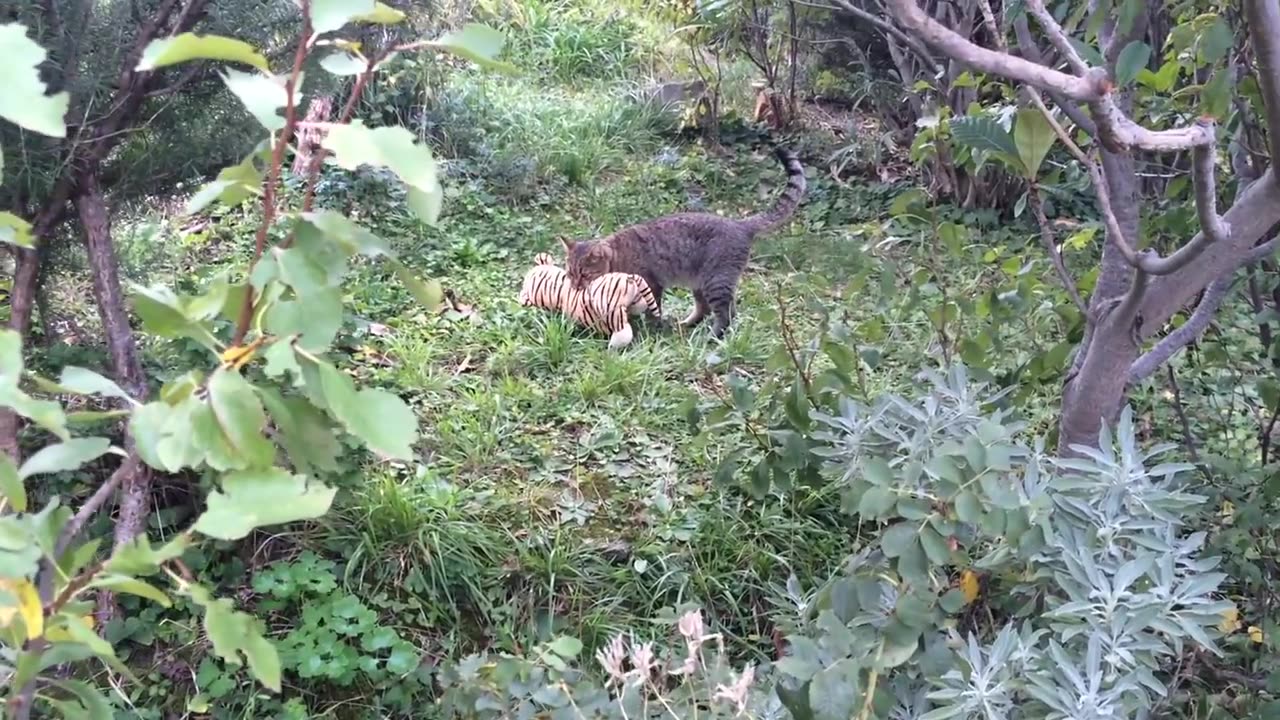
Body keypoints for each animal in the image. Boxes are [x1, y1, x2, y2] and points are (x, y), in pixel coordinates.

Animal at [563, 147, 803, 338]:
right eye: (570, 273)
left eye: (584, 273)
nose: (574, 286)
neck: (617, 258)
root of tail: (740, 224)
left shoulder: (652, 284)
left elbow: (653, 311)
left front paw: (650, 330)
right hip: (701, 283)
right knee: (706, 309)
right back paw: (686, 325)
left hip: (716, 281)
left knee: (726, 314)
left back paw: (712, 336)